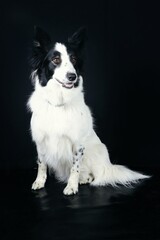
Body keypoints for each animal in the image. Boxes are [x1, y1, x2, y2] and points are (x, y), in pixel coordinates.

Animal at [27, 26, 149, 195]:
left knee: (93, 175)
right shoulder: (40, 140)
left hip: (98, 150)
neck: (60, 101)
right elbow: (41, 163)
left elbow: (75, 167)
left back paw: (84, 179)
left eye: (73, 60)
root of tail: (108, 166)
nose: (72, 76)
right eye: (56, 60)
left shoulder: (77, 143)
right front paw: (39, 181)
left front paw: (72, 186)